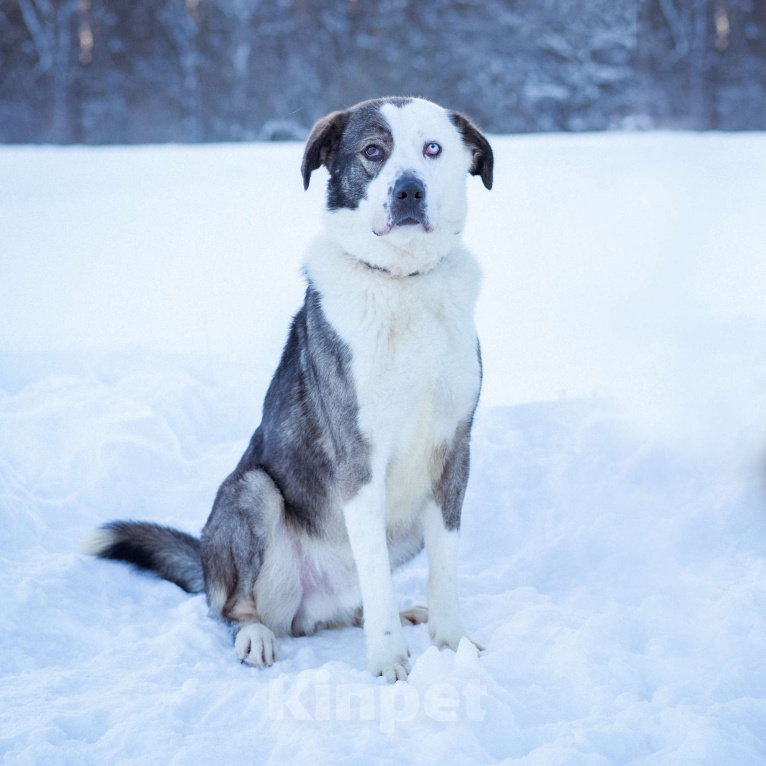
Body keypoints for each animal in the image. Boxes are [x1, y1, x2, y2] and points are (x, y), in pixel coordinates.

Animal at [84, 97, 492, 684]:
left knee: (362, 597)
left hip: (406, 523)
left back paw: (399, 611)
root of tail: (314, 608)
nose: (409, 191)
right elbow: (375, 570)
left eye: (432, 149)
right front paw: (389, 660)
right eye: (374, 151)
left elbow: (446, 567)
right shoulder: (358, 461)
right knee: (234, 607)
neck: (401, 284)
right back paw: (256, 633)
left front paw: (452, 644)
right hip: (252, 493)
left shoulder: (453, 451)